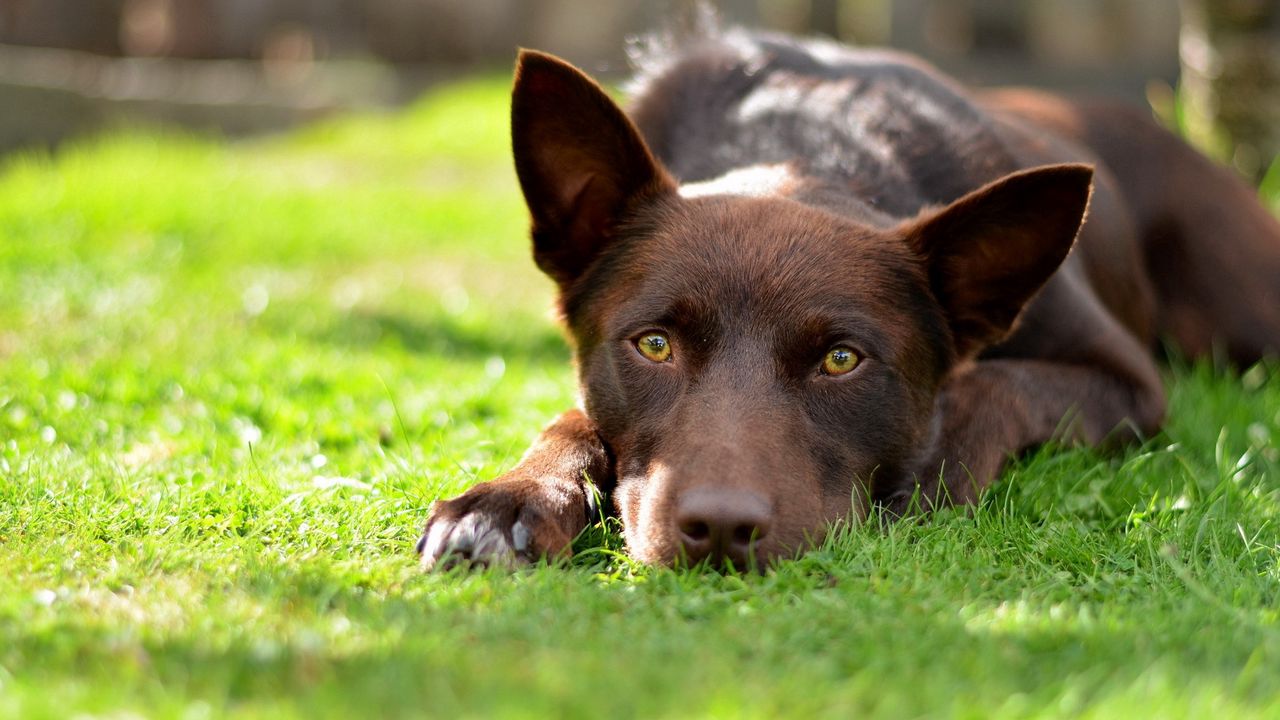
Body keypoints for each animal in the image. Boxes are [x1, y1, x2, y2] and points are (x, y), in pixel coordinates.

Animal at [417, 26, 1280, 566]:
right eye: (653, 345)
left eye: (841, 360)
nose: (719, 529)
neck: (808, 146)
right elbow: (571, 420)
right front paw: (507, 500)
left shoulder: (1129, 384)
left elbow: (997, 385)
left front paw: (934, 466)